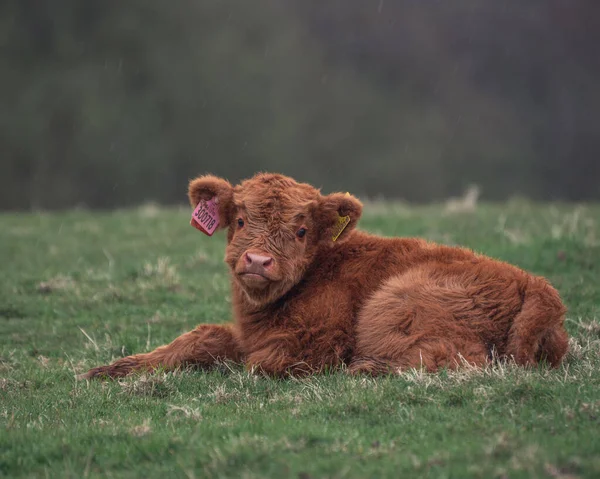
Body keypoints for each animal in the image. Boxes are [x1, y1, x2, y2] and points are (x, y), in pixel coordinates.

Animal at [79, 172, 568, 378]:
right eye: (240, 220)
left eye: (300, 230)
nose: (257, 261)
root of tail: (537, 286)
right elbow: (201, 337)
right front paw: (112, 369)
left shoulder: (311, 341)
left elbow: (256, 363)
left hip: (395, 306)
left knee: (456, 358)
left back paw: (367, 369)